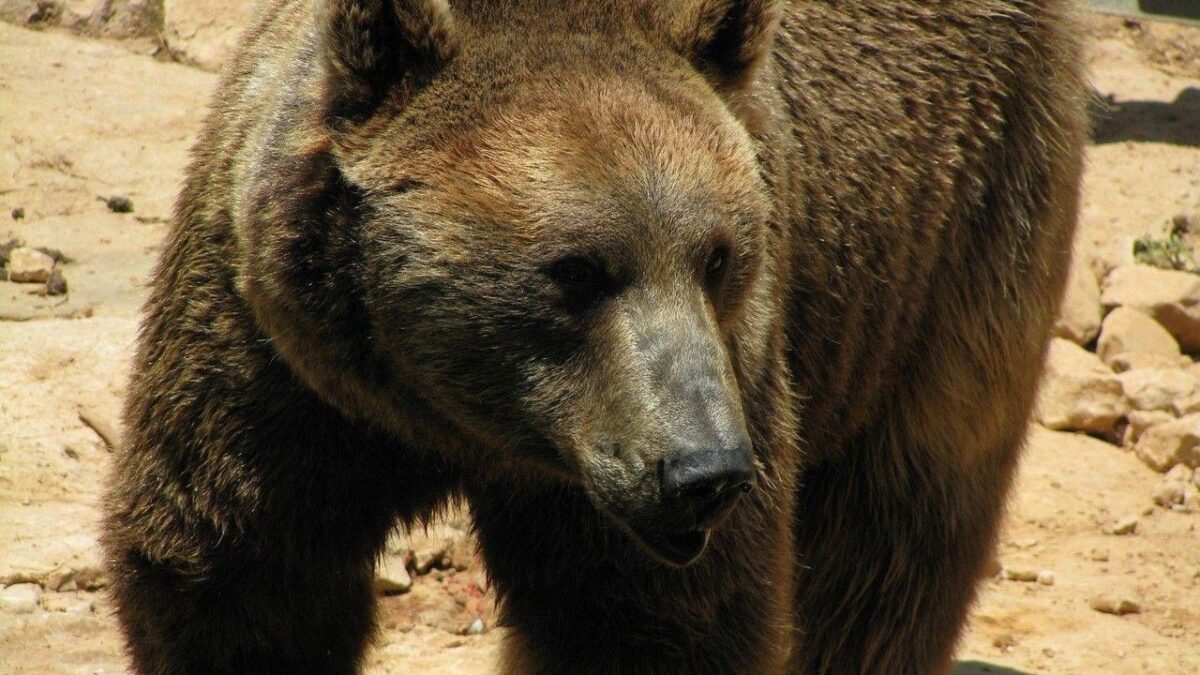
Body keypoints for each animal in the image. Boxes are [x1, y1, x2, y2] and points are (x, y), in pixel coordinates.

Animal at [101, 0, 1087, 673]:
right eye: (576, 269)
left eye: (720, 255)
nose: (705, 472)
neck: (461, 418)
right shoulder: (280, 363)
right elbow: (238, 569)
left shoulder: (707, 393)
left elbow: (656, 619)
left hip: (952, 244)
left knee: (891, 544)